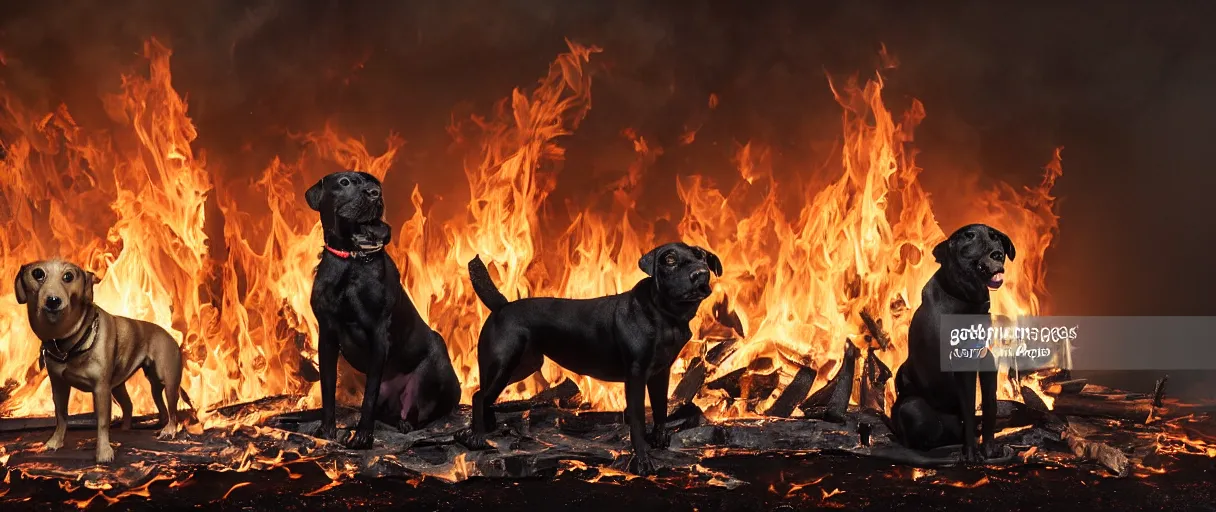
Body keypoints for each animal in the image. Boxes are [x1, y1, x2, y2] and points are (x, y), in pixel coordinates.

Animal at [13, 257, 192, 459]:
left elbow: (103, 422)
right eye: (37, 273)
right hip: (135, 386)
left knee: (172, 411)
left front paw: (104, 452)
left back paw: (168, 430)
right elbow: (61, 416)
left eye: (69, 276)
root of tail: (169, 336)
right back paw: (133, 428)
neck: (69, 342)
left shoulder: (101, 389)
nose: (53, 301)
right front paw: (55, 442)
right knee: (137, 406)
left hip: (168, 383)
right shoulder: (59, 386)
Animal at [306, 169, 462, 447]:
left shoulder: (378, 336)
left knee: (421, 414)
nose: (375, 193)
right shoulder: (327, 337)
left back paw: (406, 423)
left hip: (434, 373)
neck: (351, 260)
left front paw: (362, 437)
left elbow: (368, 397)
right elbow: (327, 389)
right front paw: (327, 431)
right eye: (344, 182)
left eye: (374, 183)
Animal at [894, 221, 1016, 459]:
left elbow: (990, 407)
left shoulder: (986, 359)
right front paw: (972, 454)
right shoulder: (962, 363)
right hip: (913, 406)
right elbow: (969, 408)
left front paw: (989, 449)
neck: (968, 299)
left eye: (996, 237)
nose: (998, 254)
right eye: (969, 236)